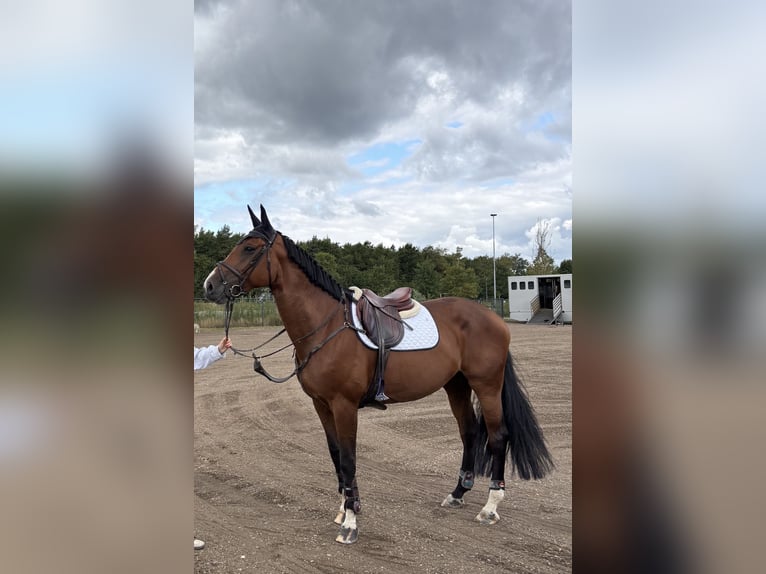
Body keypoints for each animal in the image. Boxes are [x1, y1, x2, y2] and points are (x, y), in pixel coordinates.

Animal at [203, 205, 553, 544]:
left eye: (249, 248)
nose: (209, 285)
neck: (327, 327)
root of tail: (492, 318)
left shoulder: (344, 405)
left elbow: (348, 458)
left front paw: (350, 523)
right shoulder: (321, 405)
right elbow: (335, 456)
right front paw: (344, 508)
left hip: (487, 385)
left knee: (497, 436)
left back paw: (490, 506)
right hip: (456, 385)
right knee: (469, 432)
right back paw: (457, 494)